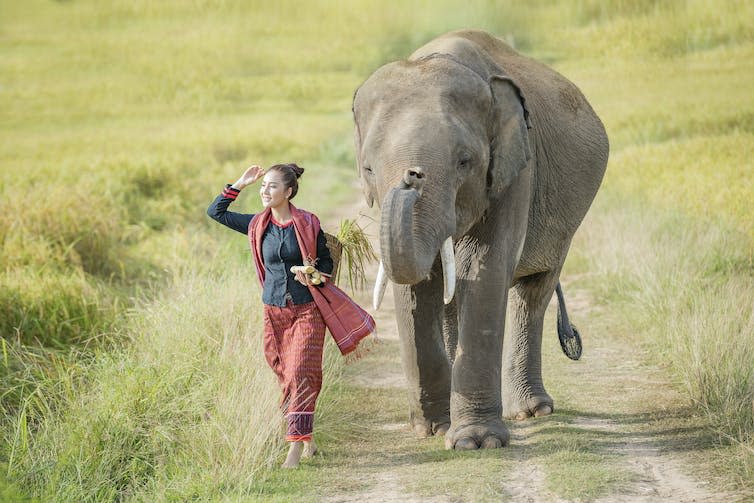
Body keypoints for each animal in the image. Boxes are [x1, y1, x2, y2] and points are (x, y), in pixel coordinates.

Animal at [352, 29, 604, 450]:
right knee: (454, 302)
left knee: (534, 293)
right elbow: (417, 286)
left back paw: (532, 411)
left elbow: (484, 269)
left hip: (566, 220)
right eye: (368, 169)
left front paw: (476, 443)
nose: (410, 176)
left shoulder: (516, 169)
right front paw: (433, 429)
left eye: (464, 162)